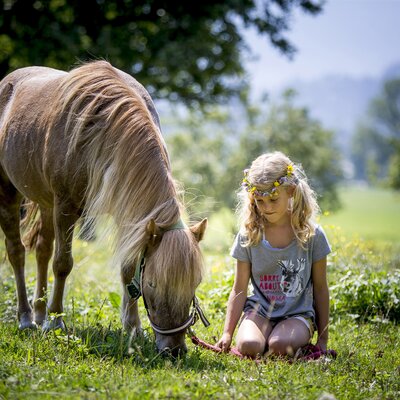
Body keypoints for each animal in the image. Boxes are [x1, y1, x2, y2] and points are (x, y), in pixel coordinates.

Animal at [0, 60, 206, 356]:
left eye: (194, 283)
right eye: (153, 284)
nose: (174, 349)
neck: (103, 130)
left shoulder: (129, 215)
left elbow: (128, 270)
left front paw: (133, 328)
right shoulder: (66, 207)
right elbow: (62, 264)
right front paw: (56, 323)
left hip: (46, 202)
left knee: (41, 250)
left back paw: (39, 313)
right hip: (10, 193)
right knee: (17, 253)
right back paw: (27, 318)